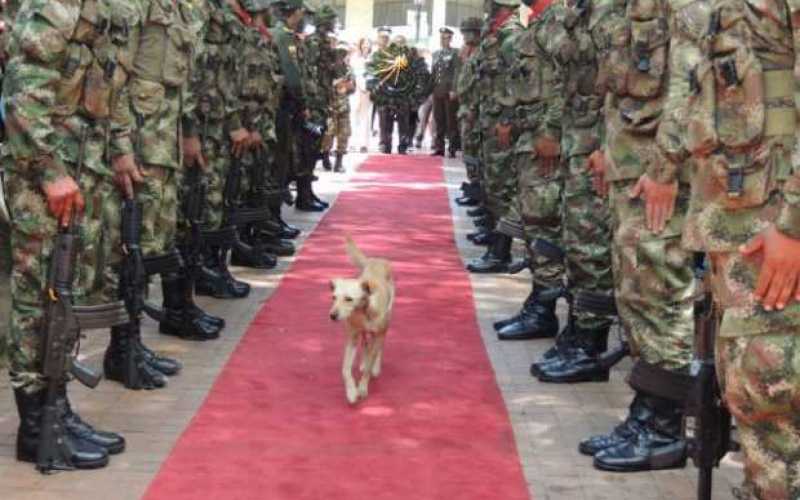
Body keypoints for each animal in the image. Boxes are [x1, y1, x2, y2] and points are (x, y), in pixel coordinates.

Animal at [330, 236, 396, 404]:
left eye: (349, 299)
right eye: (333, 297)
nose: (332, 315)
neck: (362, 312)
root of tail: (375, 260)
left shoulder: (378, 333)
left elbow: (369, 366)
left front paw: (362, 387)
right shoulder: (352, 337)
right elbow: (345, 369)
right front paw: (351, 392)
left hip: (385, 324)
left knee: (378, 347)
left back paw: (375, 367)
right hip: (364, 333)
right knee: (366, 344)